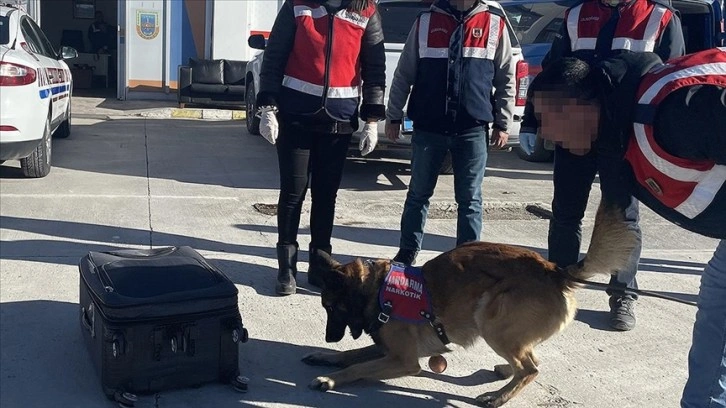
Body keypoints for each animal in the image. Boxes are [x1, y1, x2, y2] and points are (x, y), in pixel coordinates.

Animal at [300, 202, 636, 406]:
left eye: (331, 308)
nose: (328, 337)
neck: (377, 287)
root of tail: (554, 271)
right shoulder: (387, 349)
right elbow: (352, 354)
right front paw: (325, 356)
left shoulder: (404, 360)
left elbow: (358, 366)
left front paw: (330, 379)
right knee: (531, 360)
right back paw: (505, 372)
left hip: (491, 320)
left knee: (530, 369)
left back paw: (497, 397)